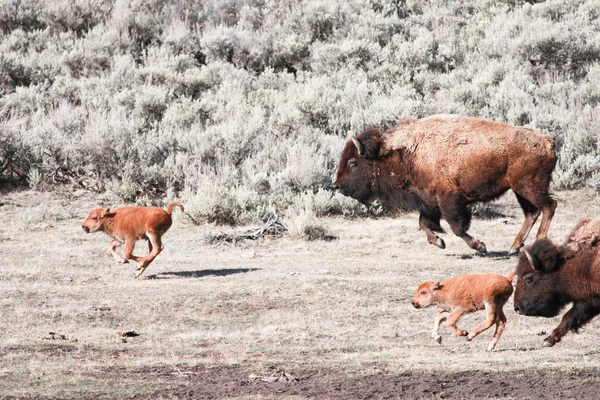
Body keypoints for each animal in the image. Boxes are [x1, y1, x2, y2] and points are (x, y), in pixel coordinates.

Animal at [330, 114, 556, 255]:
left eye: (353, 162)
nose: (337, 185)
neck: (408, 153)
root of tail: (547, 141)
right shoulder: (428, 202)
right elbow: (425, 224)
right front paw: (439, 242)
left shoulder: (448, 200)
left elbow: (456, 227)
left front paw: (480, 247)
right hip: (520, 190)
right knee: (532, 213)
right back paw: (514, 248)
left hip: (529, 187)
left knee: (548, 207)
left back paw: (538, 242)